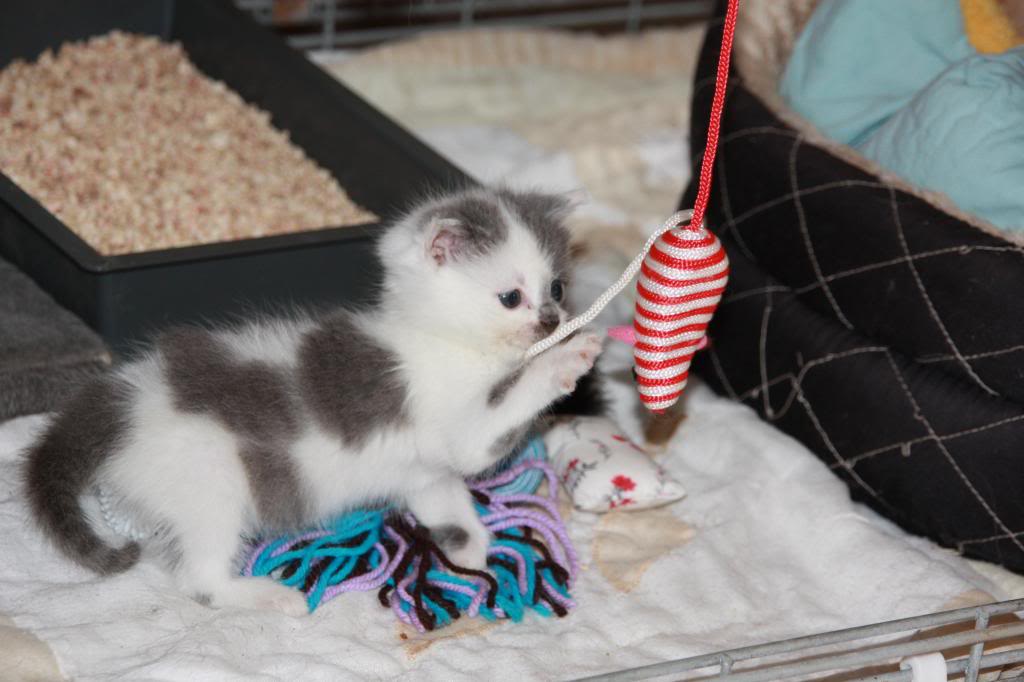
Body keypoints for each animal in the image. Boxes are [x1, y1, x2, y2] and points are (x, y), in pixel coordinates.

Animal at [22, 187, 598, 614]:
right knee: (200, 578)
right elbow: (488, 432)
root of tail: (119, 404)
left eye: (557, 288)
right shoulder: (452, 421)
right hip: (210, 484)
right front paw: (568, 359)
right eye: (511, 297)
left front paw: (469, 545)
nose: (551, 321)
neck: (433, 335)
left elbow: (446, 497)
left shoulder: (424, 471)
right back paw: (264, 595)